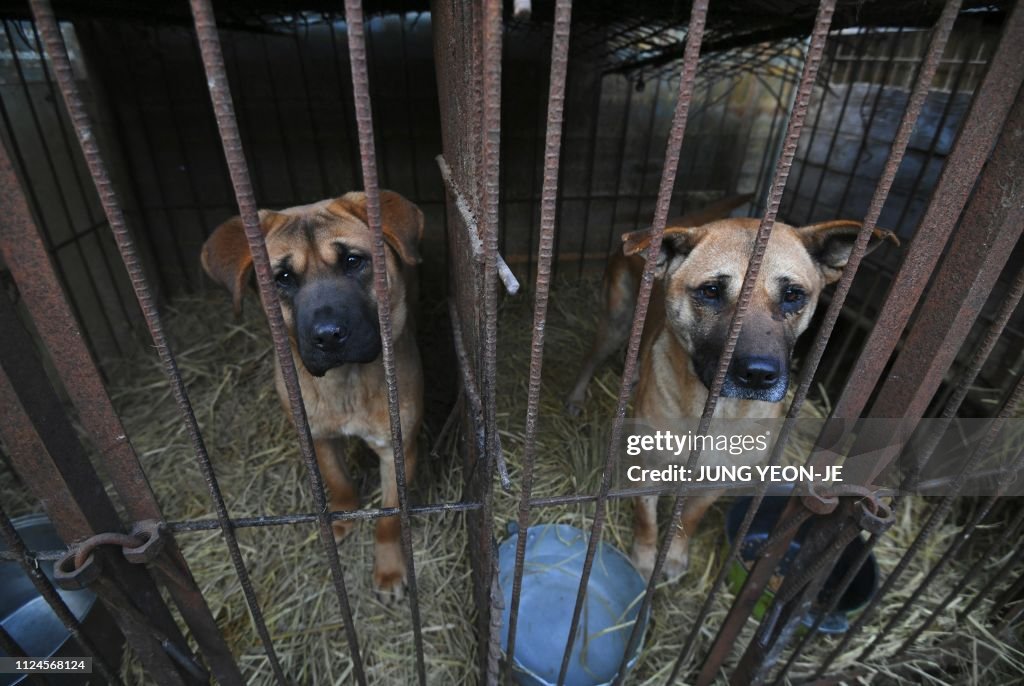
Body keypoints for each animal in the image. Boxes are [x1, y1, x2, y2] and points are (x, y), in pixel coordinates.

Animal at [199, 189, 423, 602]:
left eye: (353, 261)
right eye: (283, 278)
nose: (329, 335)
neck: (346, 383)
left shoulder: (398, 451)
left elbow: (389, 518)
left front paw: (388, 569)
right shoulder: (316, 438)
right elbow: (338, 481)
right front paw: (340, 518)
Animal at [569, 201, 897, 581]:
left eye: (793, 295)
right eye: (711, 291)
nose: (758, 375)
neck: (718, 414)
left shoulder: (716, 482)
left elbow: (689, 520)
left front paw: (674, 555)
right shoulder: (647, 470)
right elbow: (646, 519)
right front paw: (645, 559)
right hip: (616, 321)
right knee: (590, 359)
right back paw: (576, 397)